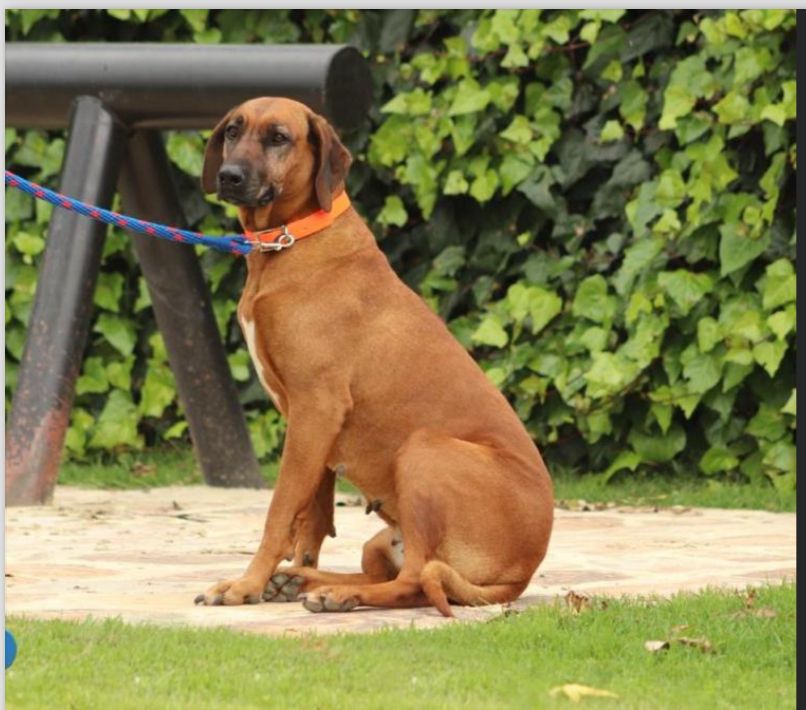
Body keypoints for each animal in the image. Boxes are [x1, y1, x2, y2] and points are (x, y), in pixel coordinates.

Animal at [194, 96, 556, 616]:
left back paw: (336, 594)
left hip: (425, 450)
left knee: (414, 580)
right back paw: (303, 581)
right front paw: (280, 573)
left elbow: (280, 509)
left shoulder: (316, 408)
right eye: (232, 131)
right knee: (399, 575)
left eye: (279, 137)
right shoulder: (308, 423)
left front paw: (246, 584)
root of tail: (522, 573)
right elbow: (311, 515)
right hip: (384, 536)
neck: (292, 239)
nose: (229, 176)